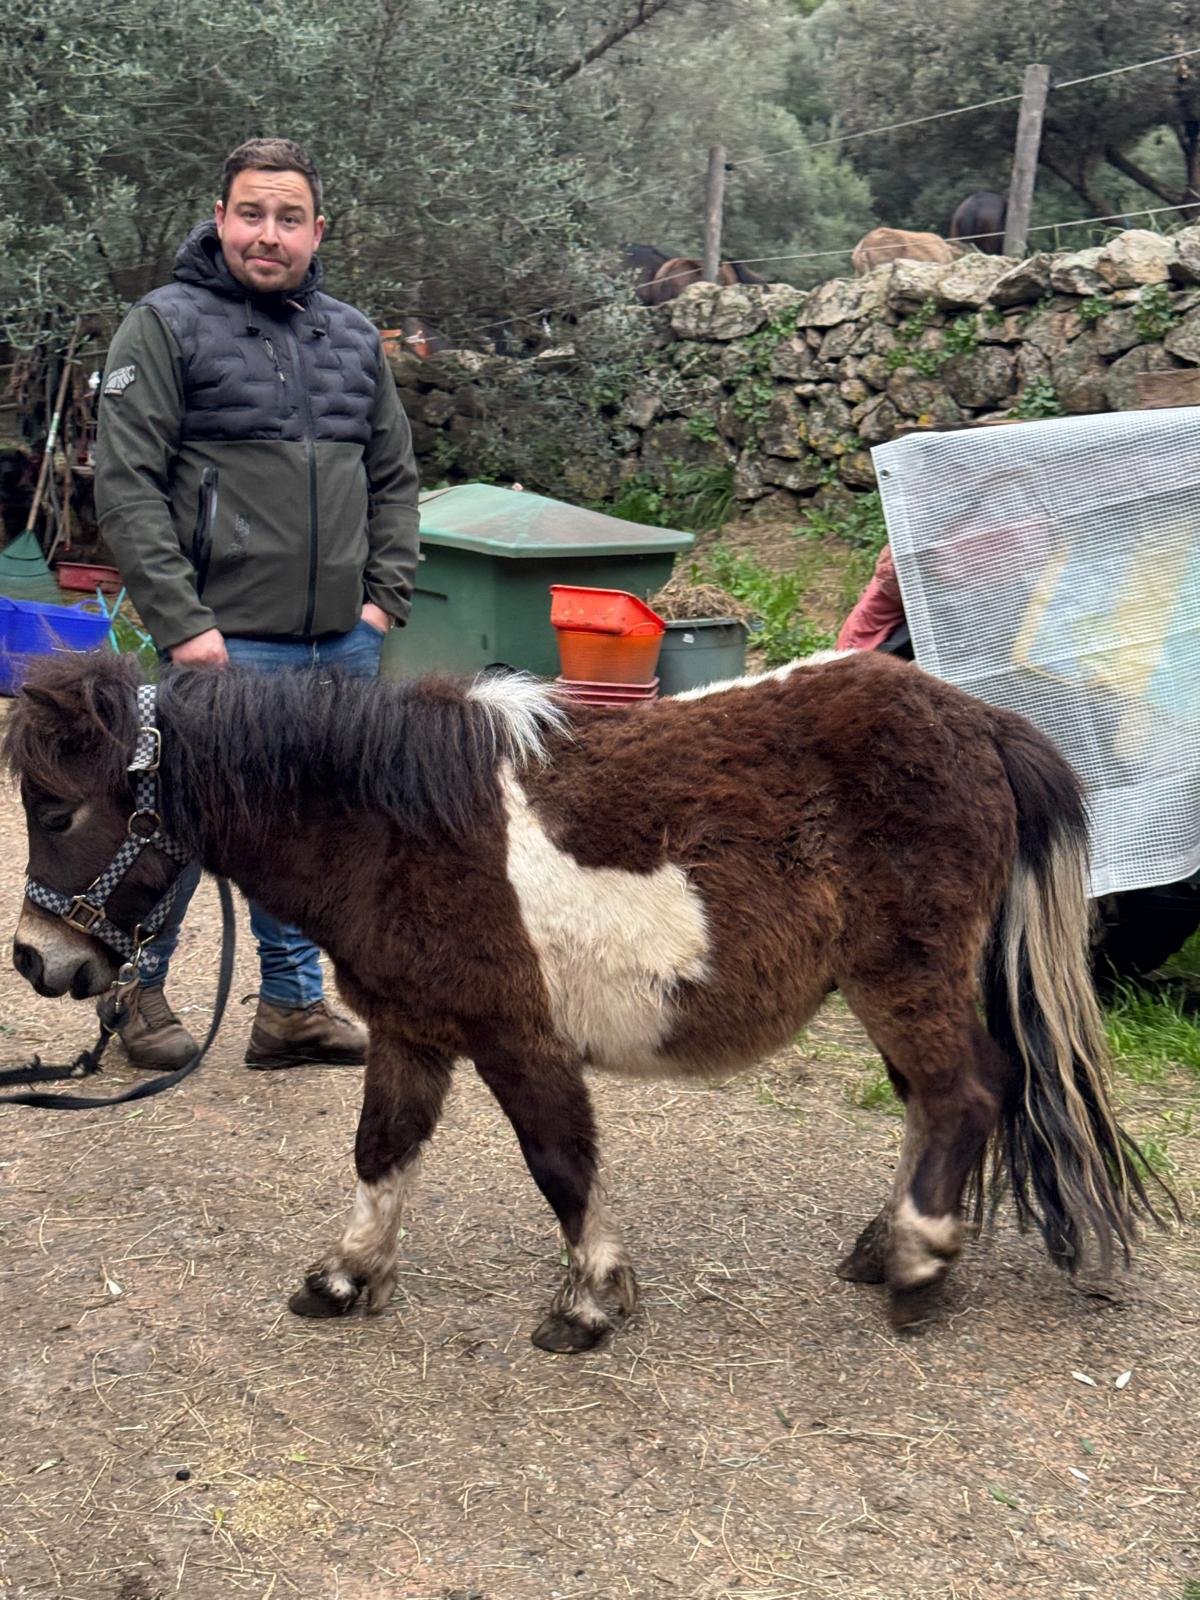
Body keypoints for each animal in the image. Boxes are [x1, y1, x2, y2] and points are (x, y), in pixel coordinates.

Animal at [6, 652, 1170, 1353]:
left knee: (964, 1092)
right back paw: (890, 1245)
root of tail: (982, 721)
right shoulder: (413, 1033)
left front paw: (594, 1299)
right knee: (937, 1100)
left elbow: (560, 1161)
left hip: (905, 976)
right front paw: (346, 1279)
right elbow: (382, 1152)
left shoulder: (519, 1039)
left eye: (58, 810)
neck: (397, 826)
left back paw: (921, 1264)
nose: (34, 960)